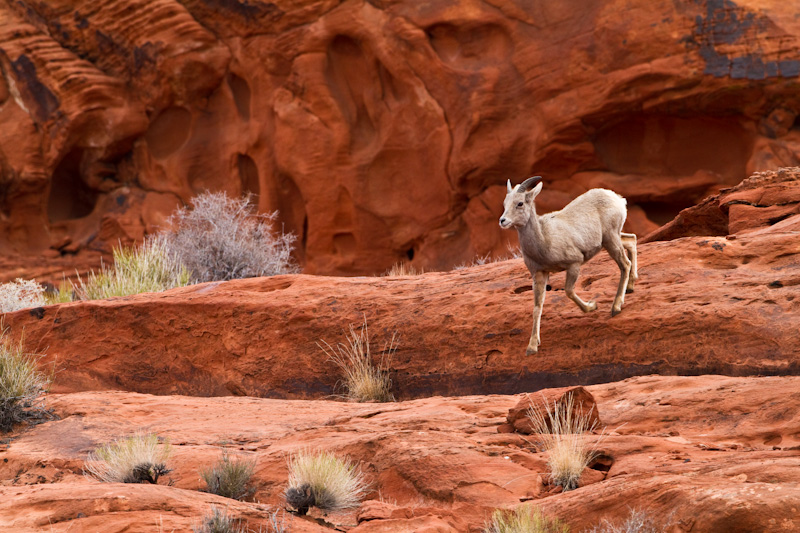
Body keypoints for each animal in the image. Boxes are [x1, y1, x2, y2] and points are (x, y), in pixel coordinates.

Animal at [500, 177, 636, 356]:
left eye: (520, 203)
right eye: (505, 203)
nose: (503, 221)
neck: (544, 240)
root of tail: (618, 199)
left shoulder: (574, 264)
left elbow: (569, 291)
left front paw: (592, 306)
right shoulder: (539, 274)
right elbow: (537, 307)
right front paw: (532, 347)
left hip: (611, 239)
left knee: (625, 264)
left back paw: (616, 307)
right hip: (611, 240)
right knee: (632, 240)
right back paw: (631, 286)